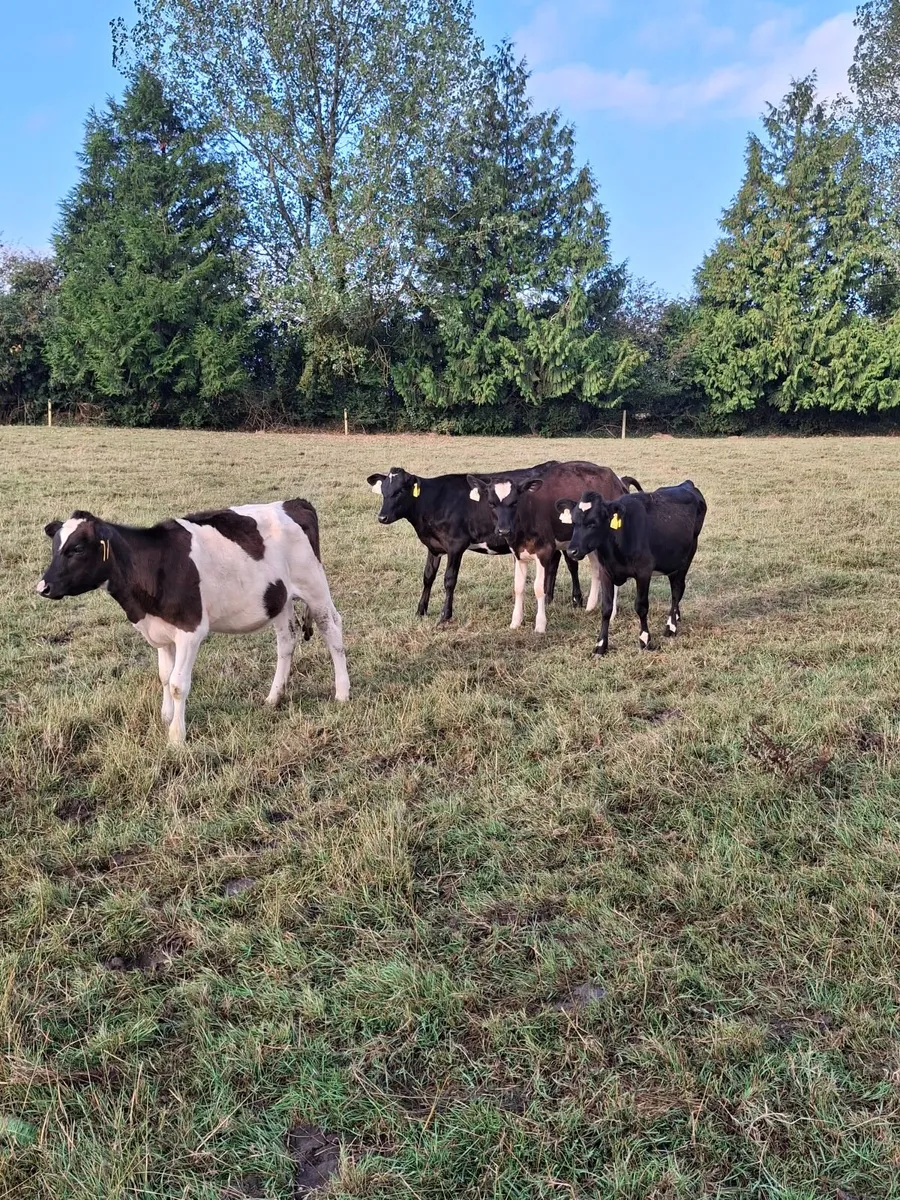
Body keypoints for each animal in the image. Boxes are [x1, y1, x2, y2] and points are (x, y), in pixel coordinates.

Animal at [36, 500, 350, 745]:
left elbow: (178, 683)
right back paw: (274, 697)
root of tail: (294, 503)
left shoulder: (190, 630)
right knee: (286, 640)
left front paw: (176, 736)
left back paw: (342, 693)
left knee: (332, 630)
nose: (43, 587)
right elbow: (164, 675)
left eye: (77, 549)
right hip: (278, 598)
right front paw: (166, 717)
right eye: (54, 547)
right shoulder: (160, 630)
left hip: (314, 586)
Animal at [365, 464, 584, 623]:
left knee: (571, 563)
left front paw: (445, 615)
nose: (382, 517)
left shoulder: (456, 545)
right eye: (384, 490)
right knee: (554, 560)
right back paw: (549, 598)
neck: (435, 502)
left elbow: (449, 580)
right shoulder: (434, 547)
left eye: (401, 490)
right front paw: (421, 610)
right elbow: (428, 577)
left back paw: (577, 600)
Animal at [466, 462, 643, 633]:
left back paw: (611, 614)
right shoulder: (517, 553)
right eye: (491, 504)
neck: (527, 514)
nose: (504, 530)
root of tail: (617, 479)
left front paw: (540, 625)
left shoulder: (544, 551)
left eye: (515, 502)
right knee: (597, 569)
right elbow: (518, 587)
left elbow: (539, 588)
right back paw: (591, 606)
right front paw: (515, 622)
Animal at [555, 480, 707, 655]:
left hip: (687, 556)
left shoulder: (644, 572)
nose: (572, 551)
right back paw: (676, 617)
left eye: (593, 523)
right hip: (671, 560)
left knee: (677, 591)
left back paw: (671, 627)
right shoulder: (605, 572)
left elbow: (641, 606)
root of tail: (686, 484)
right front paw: (601, 645)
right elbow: (606, 609)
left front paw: (645, 640)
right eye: (574, 522)